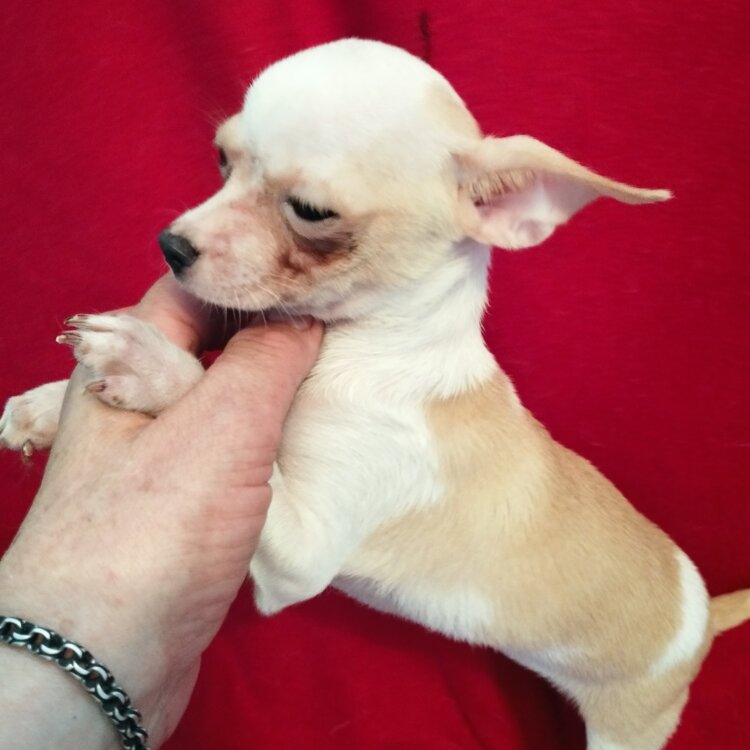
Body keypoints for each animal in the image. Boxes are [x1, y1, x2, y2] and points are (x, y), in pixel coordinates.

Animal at [2, 39, 749, 749]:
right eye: (220, 159)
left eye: (311, 213)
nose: (171, 246)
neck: (360, 349)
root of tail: (703, 616)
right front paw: (46, 405)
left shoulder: (299, 555)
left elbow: (210, 388)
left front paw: (147, 362)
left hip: (630, 726)